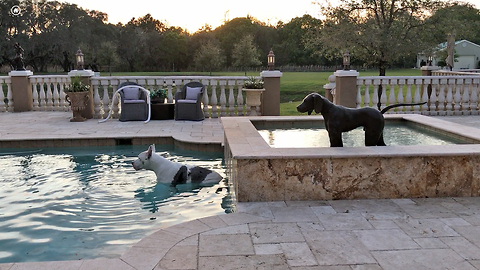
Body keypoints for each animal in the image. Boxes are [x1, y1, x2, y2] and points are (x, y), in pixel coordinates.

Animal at [298, 93, 426, 148]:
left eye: (305, 100)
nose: (297, 107)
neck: (328, 110)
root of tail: (380, 112)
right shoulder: (335, 134)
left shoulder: (334, 133)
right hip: (379, 134)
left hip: (371, 135)